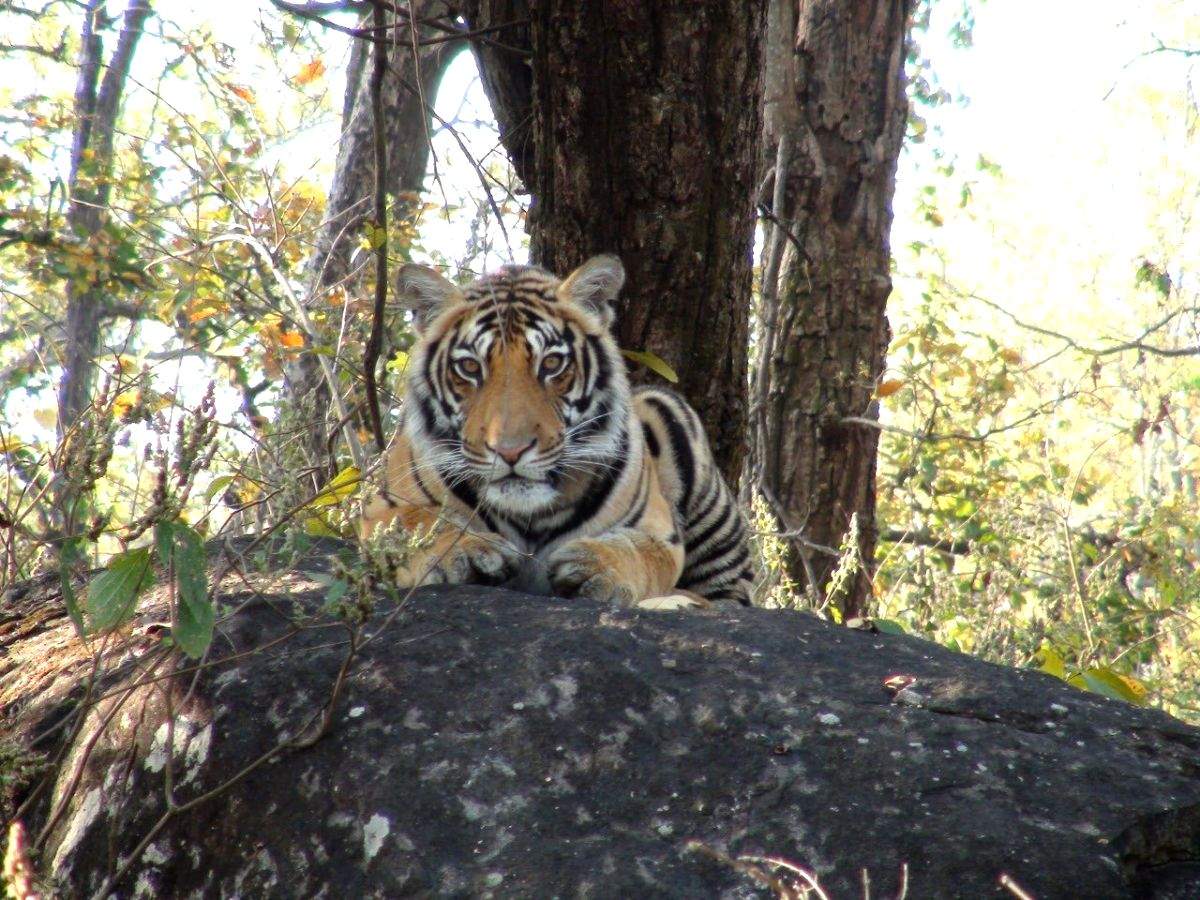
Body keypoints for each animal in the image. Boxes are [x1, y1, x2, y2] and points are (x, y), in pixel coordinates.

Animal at [360, 255, 753, 609]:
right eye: (470, 367)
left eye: (551, 363)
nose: (510, 451)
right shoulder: (380, 509)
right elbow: (419, 523)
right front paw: (468, 549)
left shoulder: (659, 530)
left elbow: (641, 552)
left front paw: (597, 565)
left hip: (667, 411)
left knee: (729, 597)